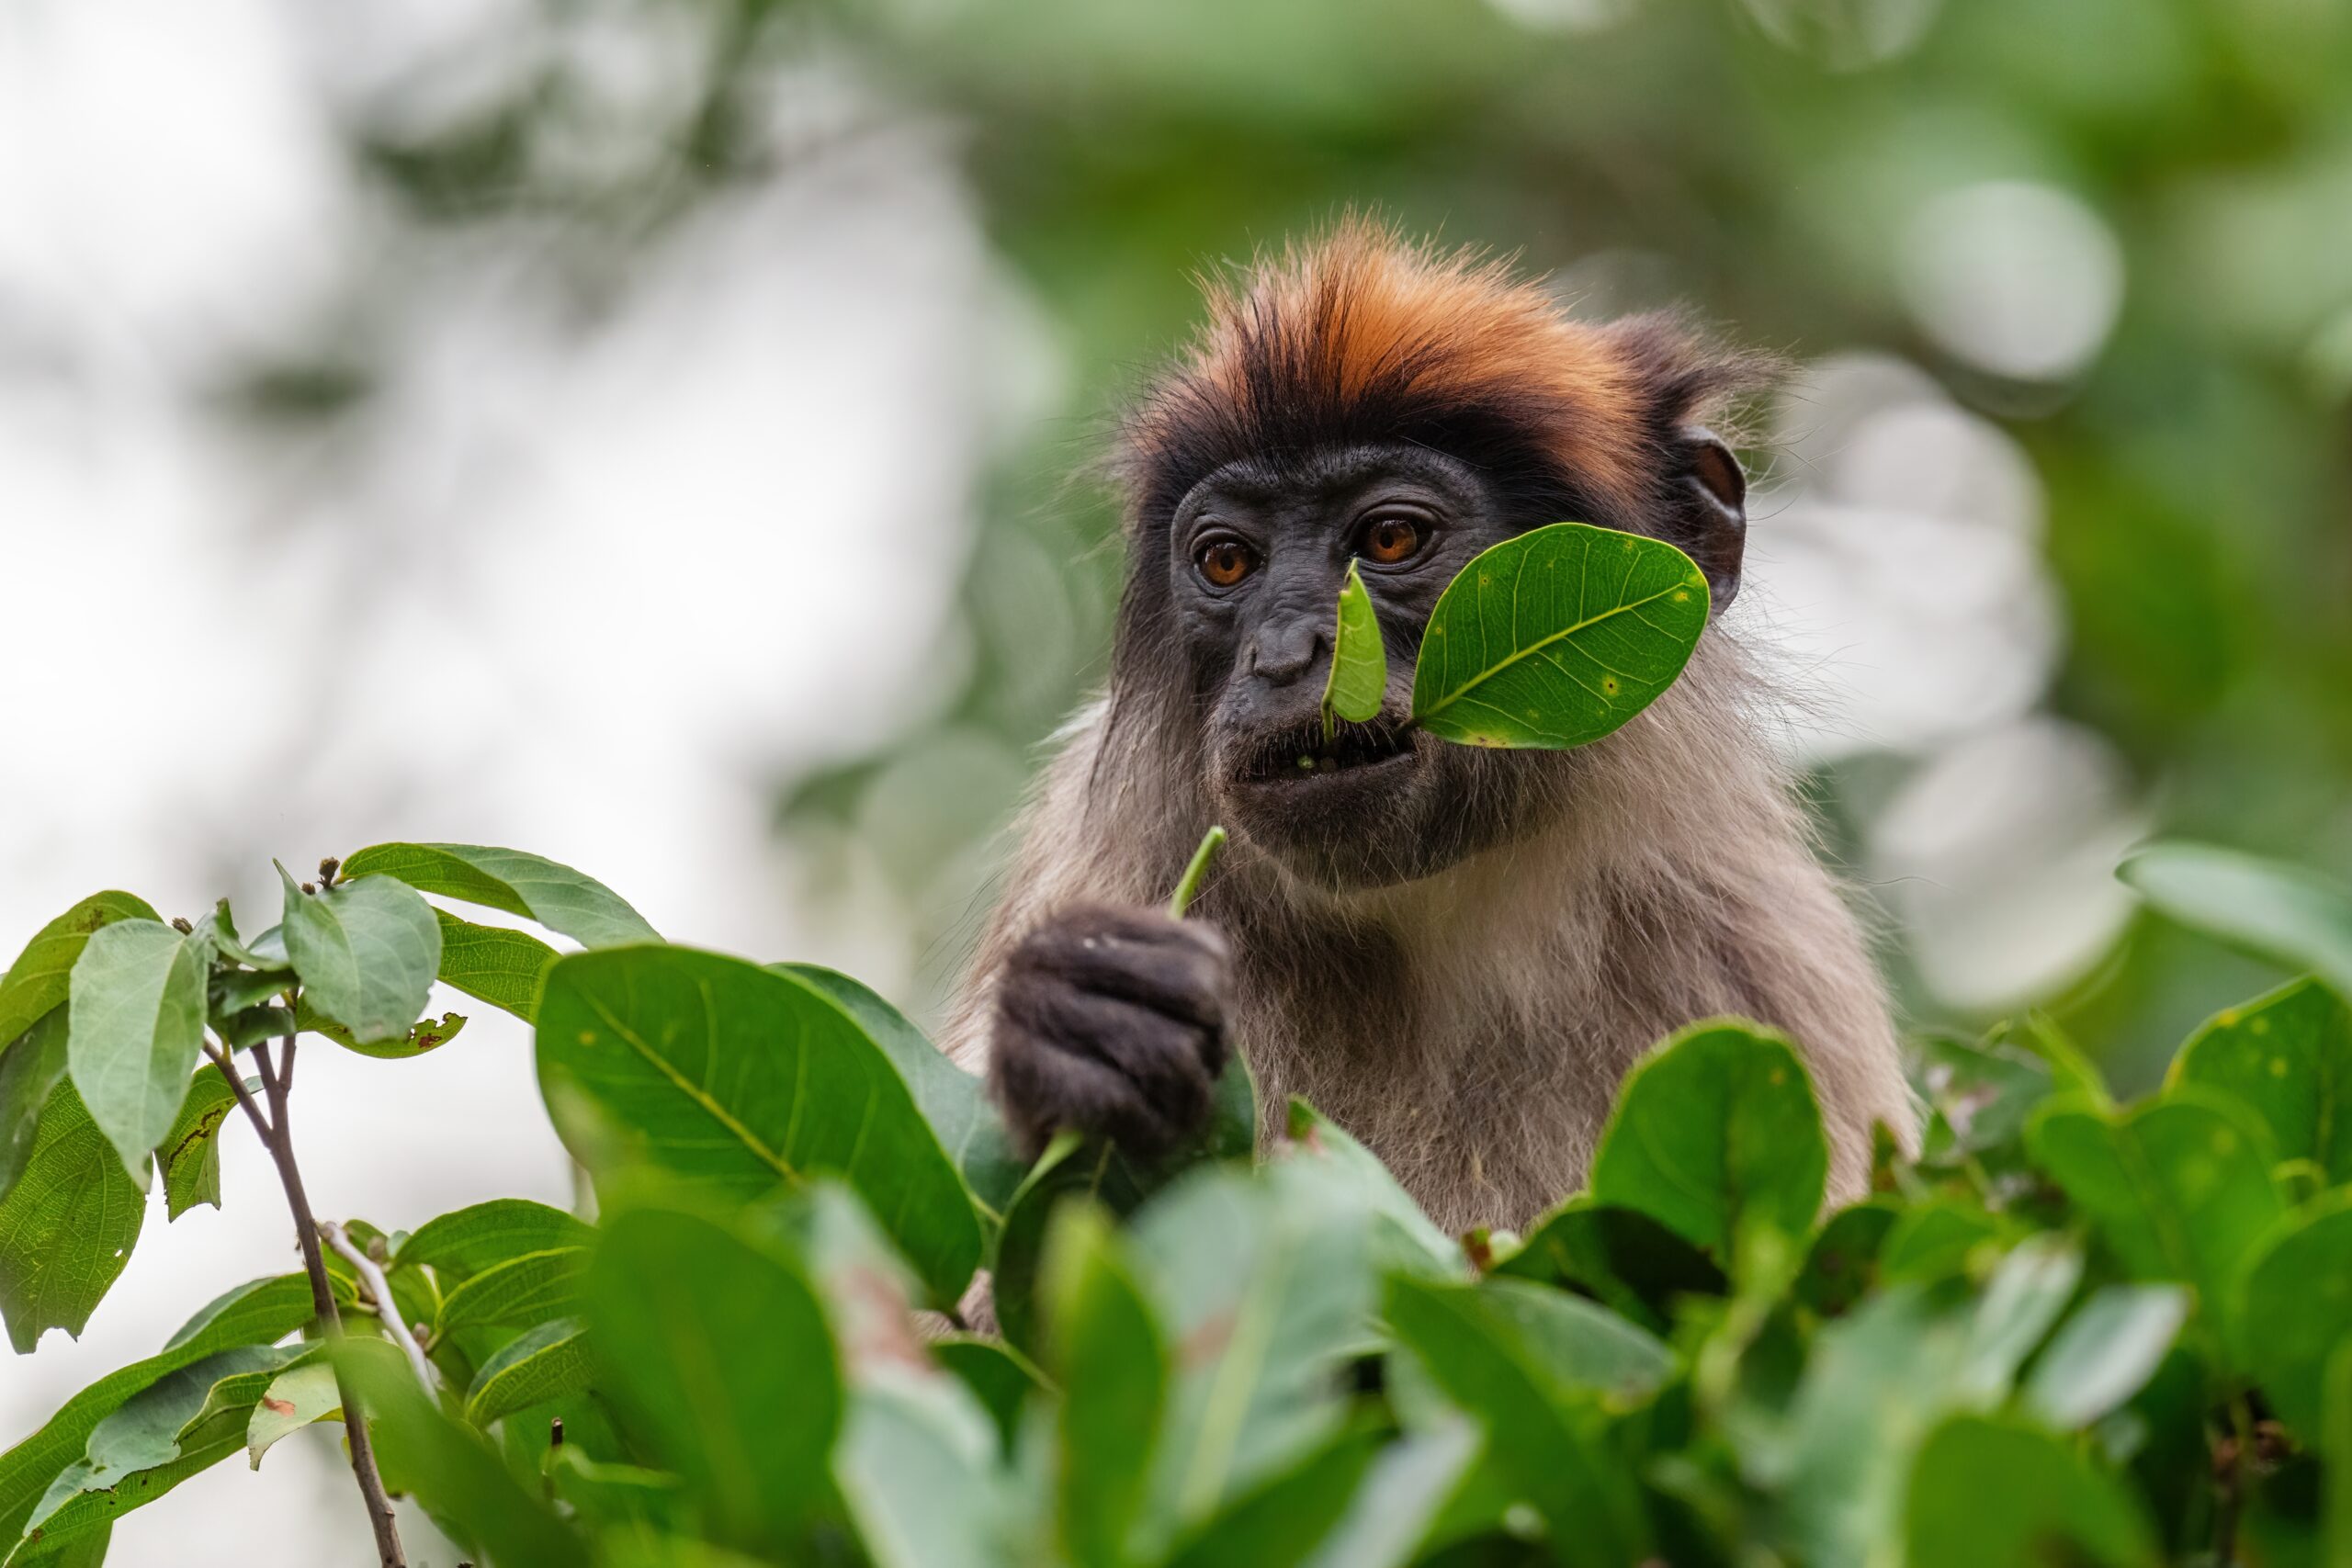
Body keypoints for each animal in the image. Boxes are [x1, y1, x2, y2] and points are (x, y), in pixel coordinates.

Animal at [935, 220, 1909, 1241]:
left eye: (1390, 540)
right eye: (1228, 560)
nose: (1283, 653)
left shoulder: (1762, 958)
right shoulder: (1107, 855)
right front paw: (1068, 1030)